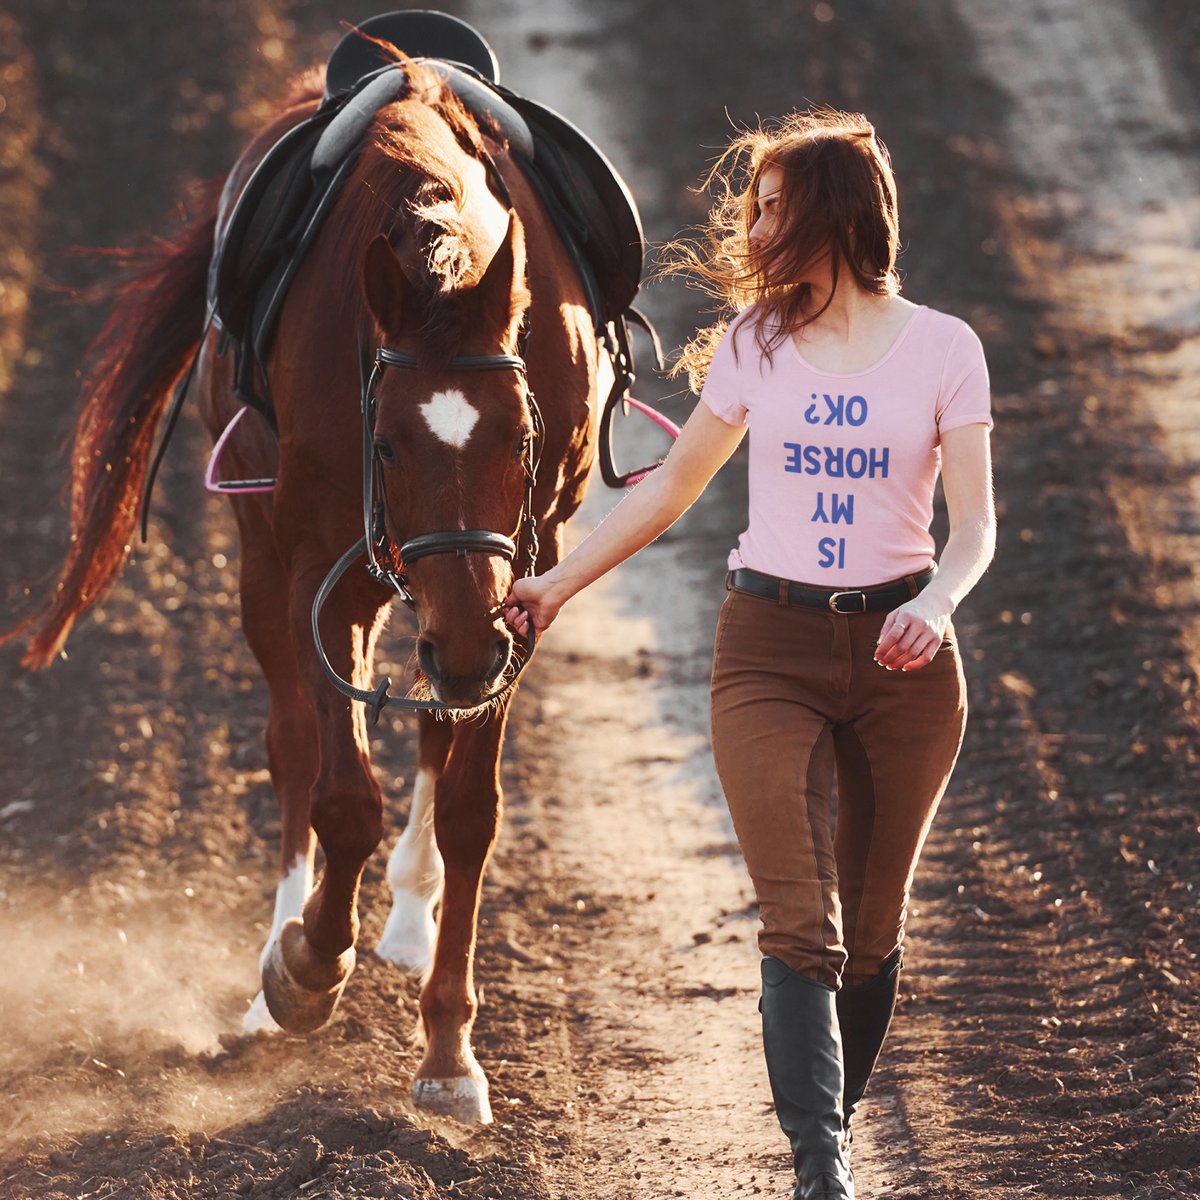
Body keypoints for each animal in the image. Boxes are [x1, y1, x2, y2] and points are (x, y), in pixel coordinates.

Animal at [10, 54, 604, 1123]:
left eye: (522, 439)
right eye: (387, 443)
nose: (468, 648)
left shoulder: (518, 583)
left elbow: (470, 810)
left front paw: (448, 1048)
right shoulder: (321, 575)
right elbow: (341, 797)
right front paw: (307, 966)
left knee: (430, 731)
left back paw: (407, 920)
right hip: (267, 560)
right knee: (292, 742)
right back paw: (276, 965)